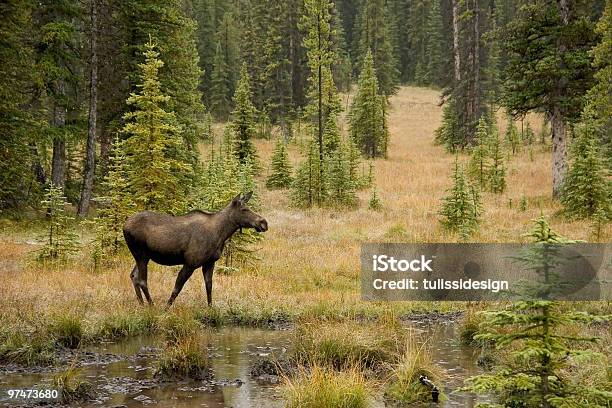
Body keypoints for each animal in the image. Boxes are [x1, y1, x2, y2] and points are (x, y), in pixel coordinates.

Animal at [123, 193, 266, 308]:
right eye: (244, 209)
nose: (264, 222)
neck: (221, 234)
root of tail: (124, 225)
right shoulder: (190, 263)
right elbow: (177, 288)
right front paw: (166, 309)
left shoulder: (209, 262)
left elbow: (209, 286)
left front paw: (211, 309)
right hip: (140, 253)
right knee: (142, 280)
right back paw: (151, 305)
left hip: (144, 256)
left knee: (134, 276)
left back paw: (142, 305)